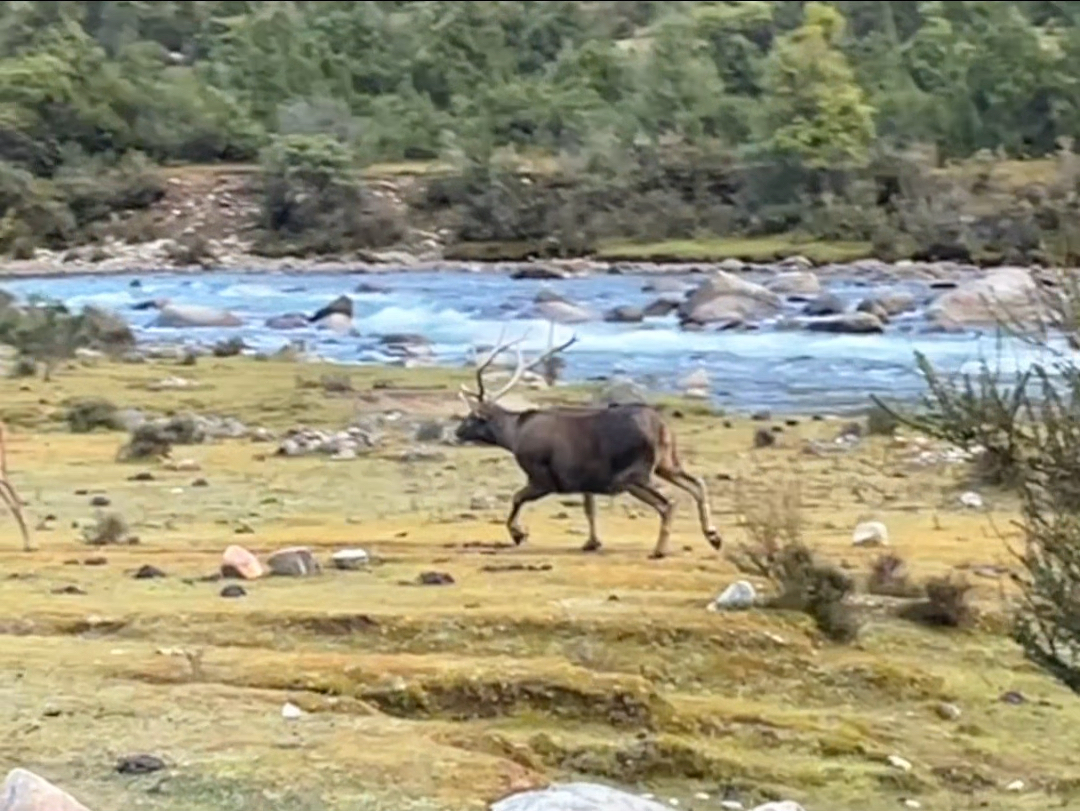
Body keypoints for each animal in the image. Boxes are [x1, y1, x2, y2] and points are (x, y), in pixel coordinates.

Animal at [451, 330, 721, 557]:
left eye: (472, 417)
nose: (457, 432)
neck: (514, 435)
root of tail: (662, 428)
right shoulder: (585, 479)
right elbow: (589, 509)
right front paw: (592, 542)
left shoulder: (543, 477)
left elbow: (517, 497)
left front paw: (518, 534)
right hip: (667, 462)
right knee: (697, 483)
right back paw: (713, 536)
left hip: (634, 473)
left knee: (669, 503)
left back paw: (660, 550)